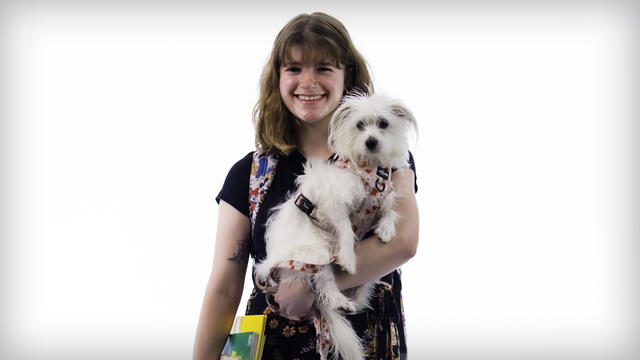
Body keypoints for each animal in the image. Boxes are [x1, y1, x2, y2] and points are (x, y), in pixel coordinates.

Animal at [254, 93, 416, 360]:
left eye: (383, 124)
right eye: (360, 125)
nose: (371, 141)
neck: (369, 167)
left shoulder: (384, 197)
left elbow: (390, 211)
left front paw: (385, 230)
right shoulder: (334, 202)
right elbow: (346, 230)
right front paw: (348, 258)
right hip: (315, 252)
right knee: (322, 282)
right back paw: (338, 298)